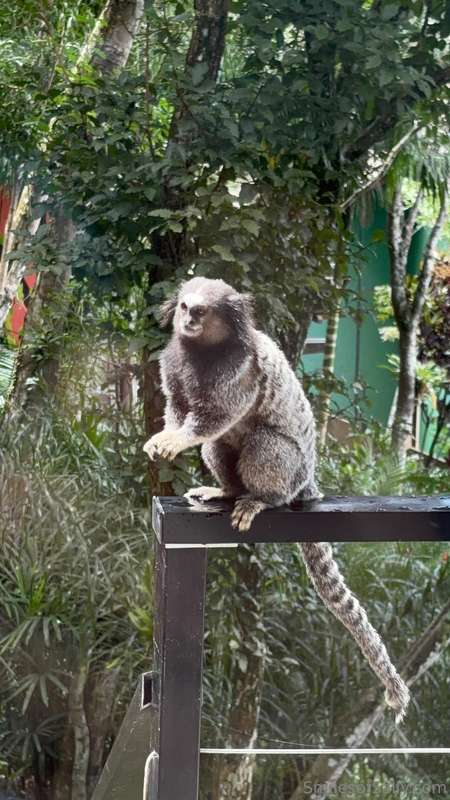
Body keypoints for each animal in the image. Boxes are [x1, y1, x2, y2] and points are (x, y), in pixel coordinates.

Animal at [143, 276, 410, 723]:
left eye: (201, 311)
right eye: (183, 307)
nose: (189, 321)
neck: (202, 352)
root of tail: (308, 482)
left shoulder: (238, 371)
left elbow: (213, 417)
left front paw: (174, 441)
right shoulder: (175, 366)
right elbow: (179, 410)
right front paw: (167, 434)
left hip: (291, 470)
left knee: (263, 444)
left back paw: (260, 499)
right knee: (219, 446)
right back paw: (226, 490)